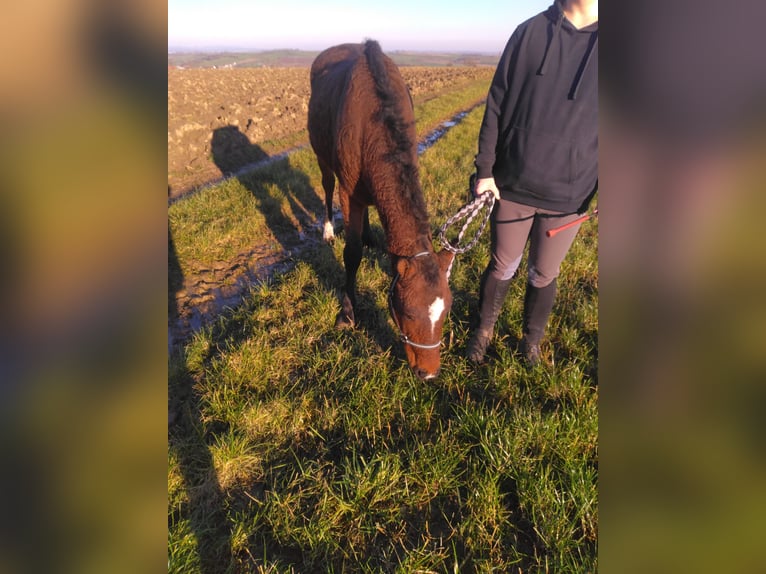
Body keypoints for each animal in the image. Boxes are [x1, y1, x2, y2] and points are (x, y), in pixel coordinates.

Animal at [308, 41, 456, 382]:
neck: (376, 120)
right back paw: (327, 229)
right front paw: (347, 313)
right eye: (408, 311)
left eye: (445, 313)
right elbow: (351, 254)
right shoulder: (349, 191)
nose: (429, 374)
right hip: (322, 157)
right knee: (326, 186)